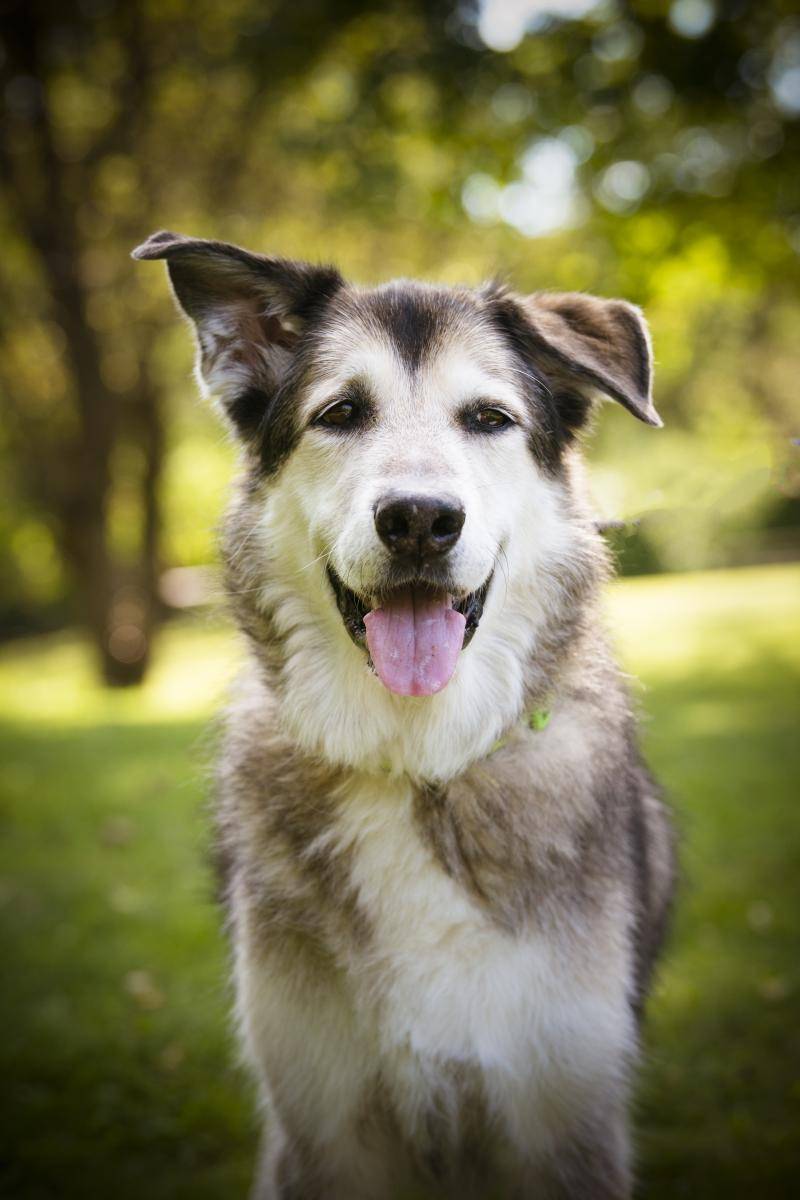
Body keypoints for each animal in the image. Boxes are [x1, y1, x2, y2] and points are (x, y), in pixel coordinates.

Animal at [134, 229, 681, 1195]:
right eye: (342, 413)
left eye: (489, 419)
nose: (420, 518)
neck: (413, 763)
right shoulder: (322, 1127)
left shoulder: (566, 1119)